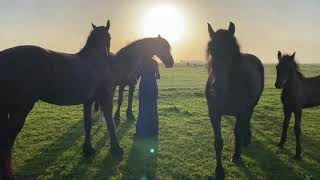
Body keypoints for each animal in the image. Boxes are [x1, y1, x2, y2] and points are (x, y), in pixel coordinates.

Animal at [0, 20, 125, 179]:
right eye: (109, 37)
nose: (108, 54)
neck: (95, 60)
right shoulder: (106, 97)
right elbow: (110, 123)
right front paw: (116, 149)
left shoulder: (88, 101)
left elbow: (88, 124)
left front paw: (88, 149)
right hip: (19, 110)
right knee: (7, 142)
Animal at [206, 22, 264, 179]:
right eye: (211, 50)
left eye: (232, 52)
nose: (217, 87)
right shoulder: (214, 113)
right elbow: (218, 142)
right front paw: (219, 170)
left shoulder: (240, 111)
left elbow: (237, 131)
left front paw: (236, 155)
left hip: (252, 103)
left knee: (248, 118)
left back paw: (246, 138)